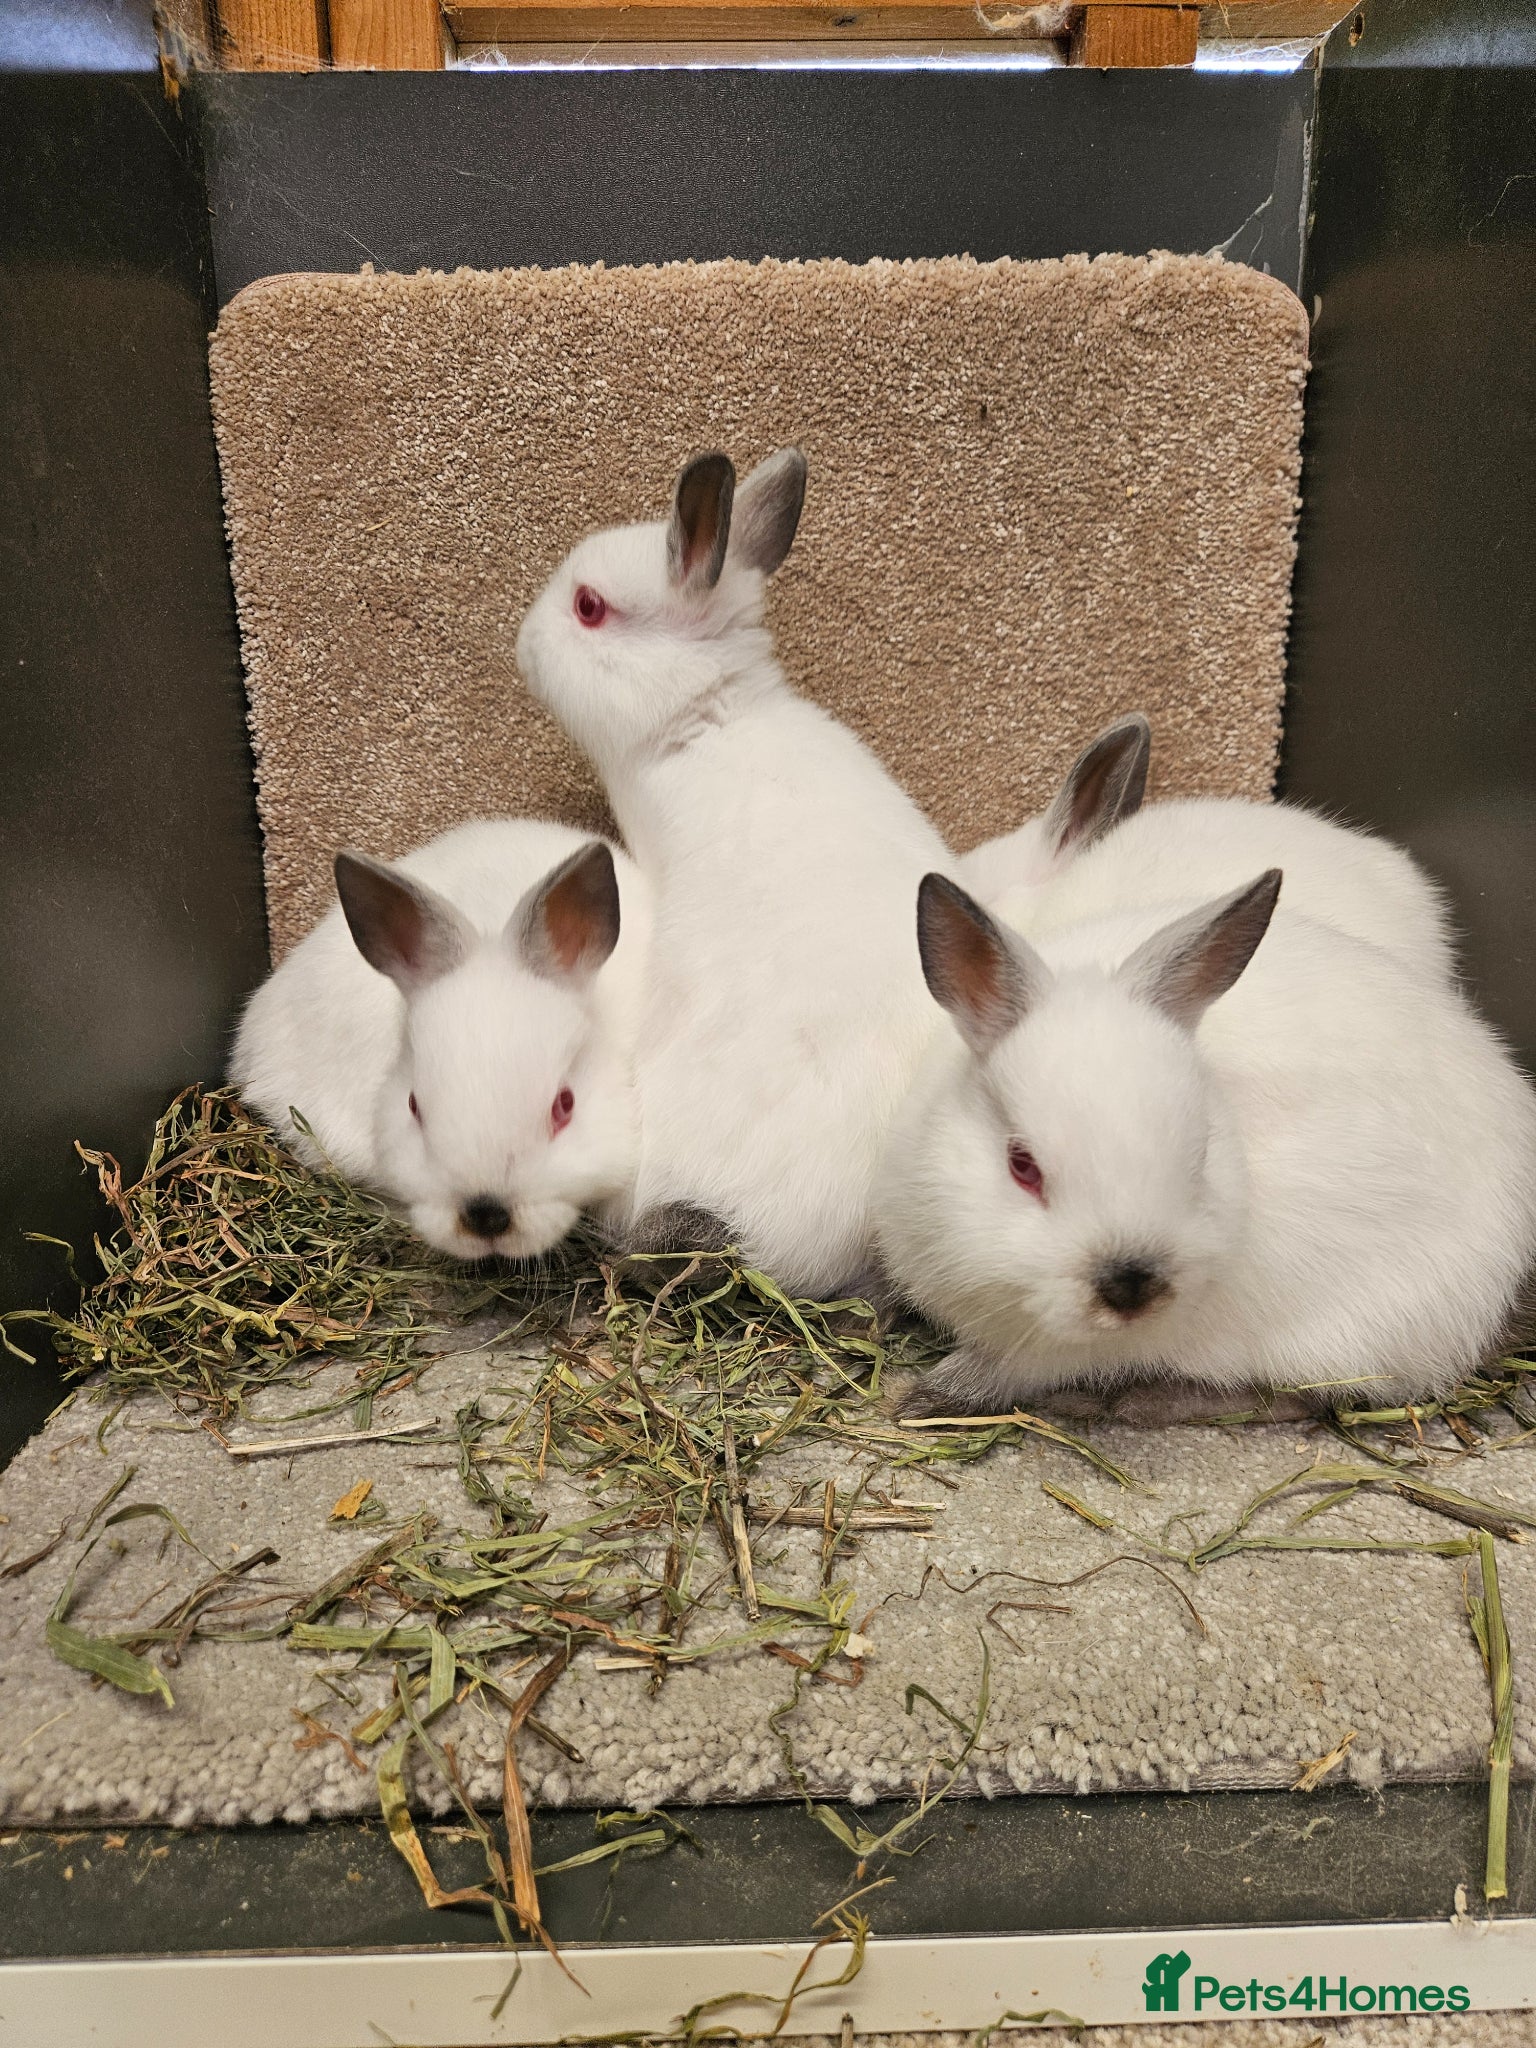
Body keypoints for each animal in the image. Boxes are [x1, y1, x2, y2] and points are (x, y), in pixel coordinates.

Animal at [874, 865, 1536, 1415]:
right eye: (1022, 1165)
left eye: (1199, 1156)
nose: (1132, 1288)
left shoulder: (1054, 1350)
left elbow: (1008, 1371)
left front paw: (923, 1396)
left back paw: (1146, 1404)